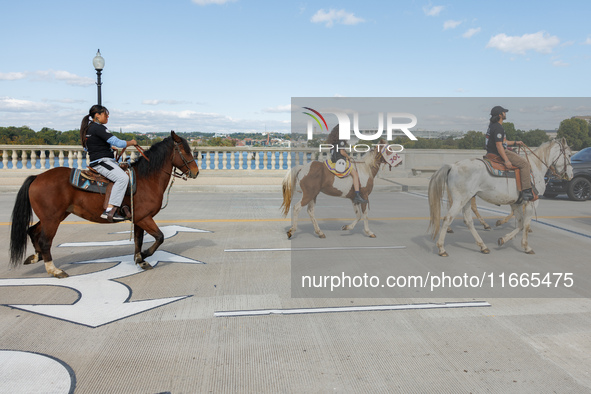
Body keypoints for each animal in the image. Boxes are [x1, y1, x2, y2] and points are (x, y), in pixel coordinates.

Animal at [9, 131, 199, 278]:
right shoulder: (144, 218)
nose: (196, 172)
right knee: (45, 241)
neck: (146, 179)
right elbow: (160, 237)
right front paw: (144, 255)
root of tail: (37, 177)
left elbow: (139, 239)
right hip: (52, 219)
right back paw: (54, 270)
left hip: (54, 216)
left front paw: (140, 259)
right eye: (184, 150)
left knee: (32, 231)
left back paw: (36, 257)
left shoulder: (139, 218)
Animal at [430, 139, 572, 255]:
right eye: (570, 155)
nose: (571, 174)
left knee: (468, 221)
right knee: (448, 218)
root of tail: (453, 166)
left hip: (467, 199)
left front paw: (503, 239)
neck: (535, 167)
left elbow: (520, 224)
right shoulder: (531, 202)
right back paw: (441, 248)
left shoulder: (516, 203)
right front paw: (526, 247)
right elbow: (525, 224)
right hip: (460, 200)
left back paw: (483, 246)